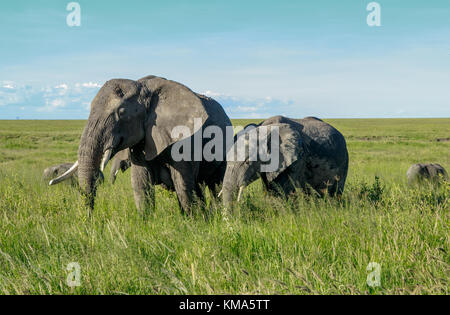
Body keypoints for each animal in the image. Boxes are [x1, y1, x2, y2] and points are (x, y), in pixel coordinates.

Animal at [50, 76, 230, 215]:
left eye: (122, 113)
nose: (89, 220)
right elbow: (141, 184)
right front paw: (146, 223)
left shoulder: (184, 138)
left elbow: (183, 185)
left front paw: (194, 222)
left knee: (215, 184)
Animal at [220, 116, 350, 207]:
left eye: (247, 162)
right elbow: (269, 187)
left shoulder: (297, 158)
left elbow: (280, 190)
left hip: (344, 161)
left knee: (335, 192)